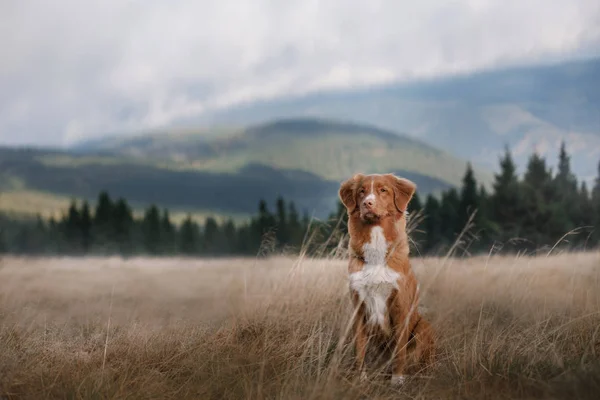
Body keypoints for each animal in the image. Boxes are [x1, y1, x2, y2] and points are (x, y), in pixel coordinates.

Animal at [340, 173, 434, 386]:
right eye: (361, 192)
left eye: (383, 190)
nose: (367, 203)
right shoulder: (359, 309)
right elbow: (360, 349)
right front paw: (361, 377)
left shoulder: (400, 307)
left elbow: (399, 350)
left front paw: (397, 379)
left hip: (423, 327)